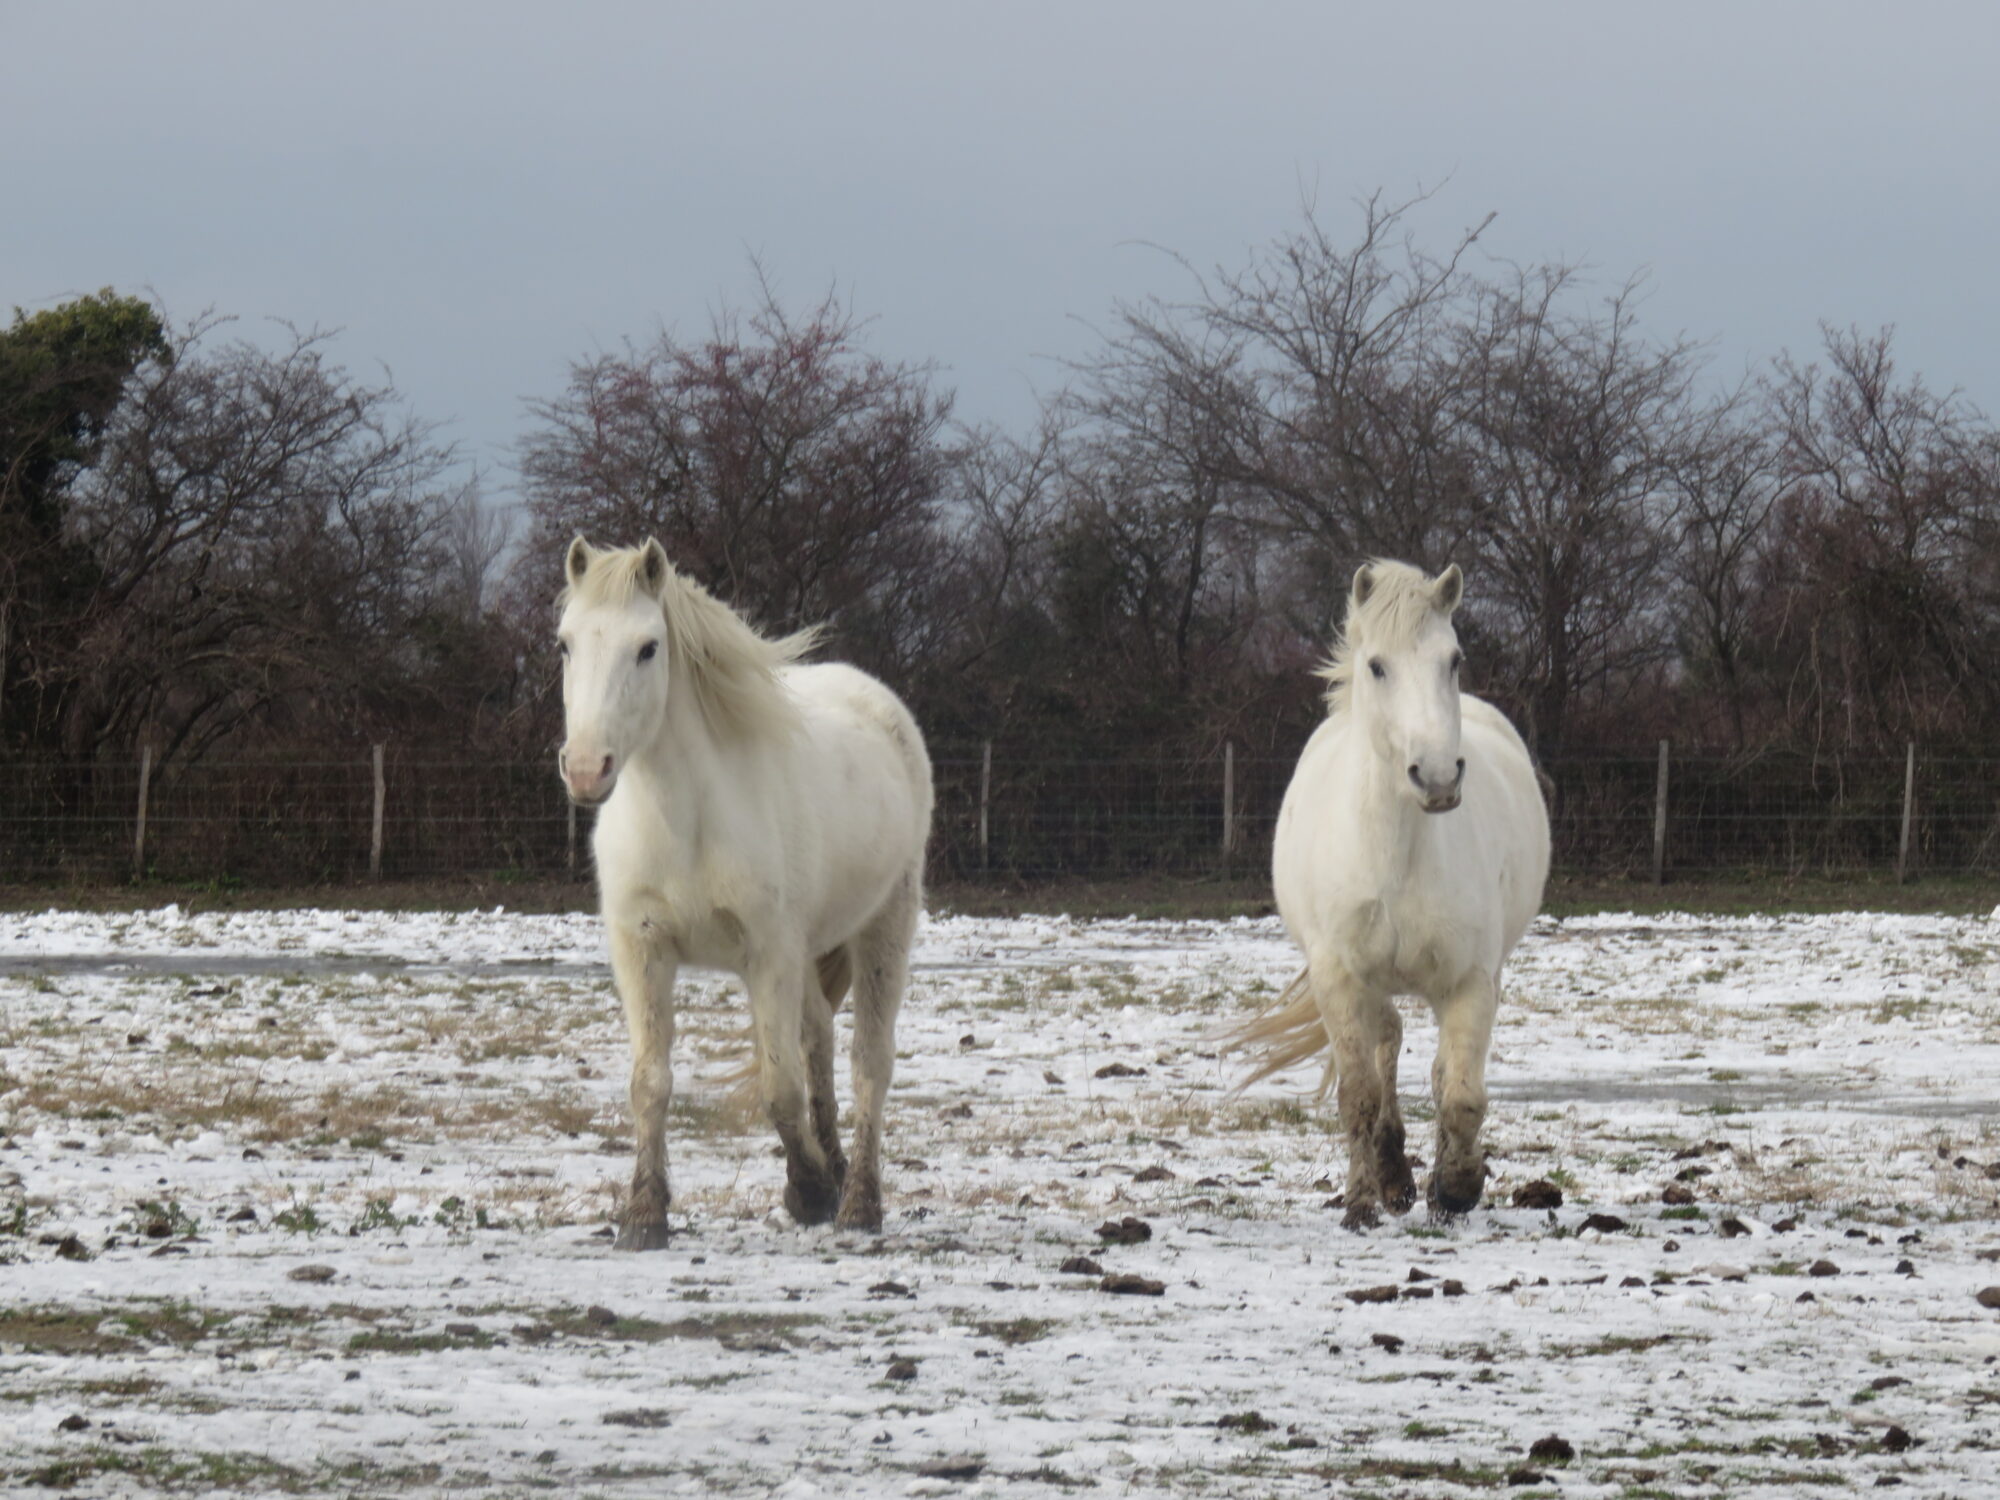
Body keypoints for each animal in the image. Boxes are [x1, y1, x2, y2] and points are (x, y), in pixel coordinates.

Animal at [554, 537, 933, 1248]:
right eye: (564, 644)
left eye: (648, 647)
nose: (588, 769)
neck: (688, 819)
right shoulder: (643, 951)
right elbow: (650, 1082)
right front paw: (644, 1215)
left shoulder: (768, 954)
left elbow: (779, 1085)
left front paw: (809, 1191)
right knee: (819, 1039)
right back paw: (837, 1168)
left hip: (884, 925)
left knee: (869, 1060)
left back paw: (858, 1203)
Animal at [1235, 560, 1549, 1228]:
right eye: (1377, 665)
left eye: (1454, 659)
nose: (1437, 776)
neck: (1400, 854)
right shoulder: (1341, 978)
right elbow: (1358, 1094)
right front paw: (1361, 1202)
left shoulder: (1470, 981)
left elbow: (1460, 1094)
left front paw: (1455, 1189)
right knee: (1387, 1047)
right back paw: (1392, 1178)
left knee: (1431, 1068)